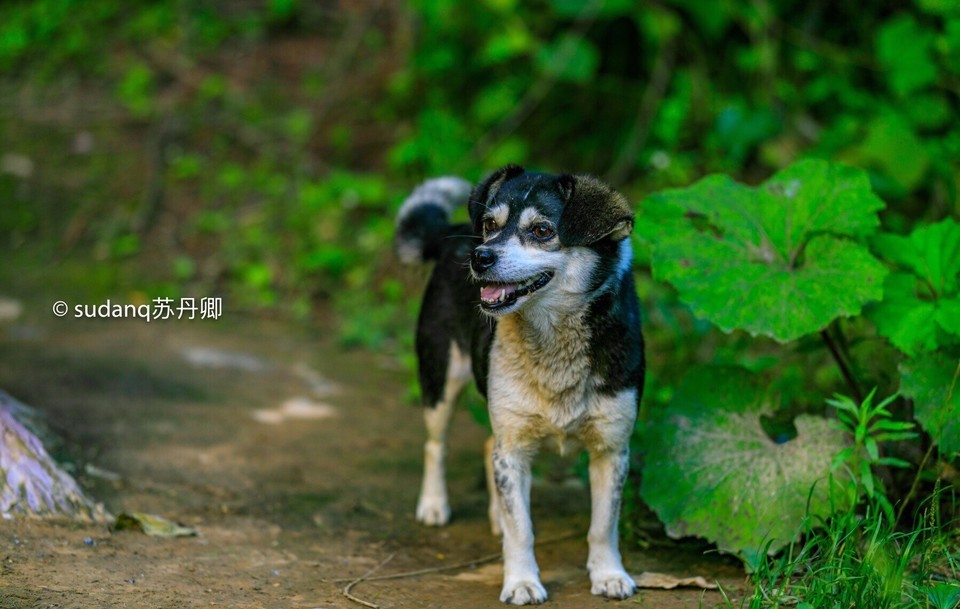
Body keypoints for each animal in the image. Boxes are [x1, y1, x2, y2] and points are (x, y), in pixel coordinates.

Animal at [394, 165, 640, 604]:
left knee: (486, 445)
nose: (480, 256)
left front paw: (609, 574)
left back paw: (494, 515)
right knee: (436, 444)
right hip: (441, 379)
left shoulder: (612, 449)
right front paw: (522, 582)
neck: (553, 338)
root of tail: (455, 231)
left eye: (542, 230)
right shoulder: (513, 449)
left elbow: (603, 525)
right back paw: (434, 505)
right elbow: (521, 529)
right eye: (491, 225)